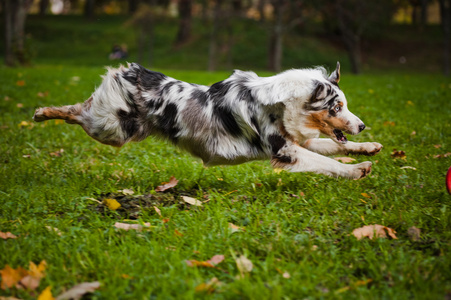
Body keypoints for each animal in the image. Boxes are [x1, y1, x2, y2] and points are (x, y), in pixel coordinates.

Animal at [33, 61, 384, 178]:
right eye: (336, 107)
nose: (362, 125)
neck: (284, 104)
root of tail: (132, 72)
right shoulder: (286, 151)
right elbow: (329, 163)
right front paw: (358, 171)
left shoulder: (299, 141)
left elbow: (335, 146)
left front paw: (368, 147)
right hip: (113, 128)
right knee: (78, 111)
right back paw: (42, 112)